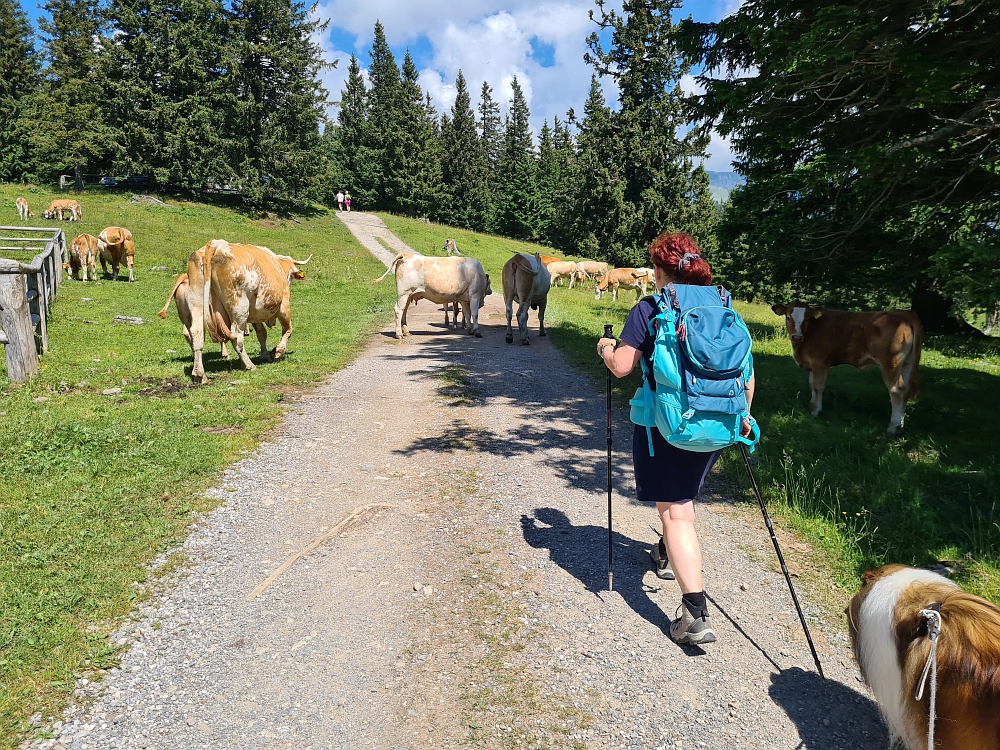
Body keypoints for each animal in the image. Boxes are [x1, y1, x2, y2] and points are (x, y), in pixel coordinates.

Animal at [188, 241, 310, 382]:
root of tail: (216, 244)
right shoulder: (284, 307)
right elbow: (288, 330)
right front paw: (279, 351)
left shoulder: (256, 315)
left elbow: (262, 334)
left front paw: (265, 355)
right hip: (239, 308)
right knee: (237, 337)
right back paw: (249, 365)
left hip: (197, 302)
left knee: (196, 333)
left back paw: (199, 374)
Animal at [768, 304, 924, 434]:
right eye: (788, 317)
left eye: (807, 319)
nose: (796, 336)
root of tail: (902, 314)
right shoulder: (813, 365)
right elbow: (812, 384)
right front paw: (812, 405)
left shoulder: (820, 362)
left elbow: (818, 386)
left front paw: (816, 411)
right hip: (906, 365)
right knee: (905, 390)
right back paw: (901, 424)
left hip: (890, 364)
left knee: (896, 391)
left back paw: (893, 427)